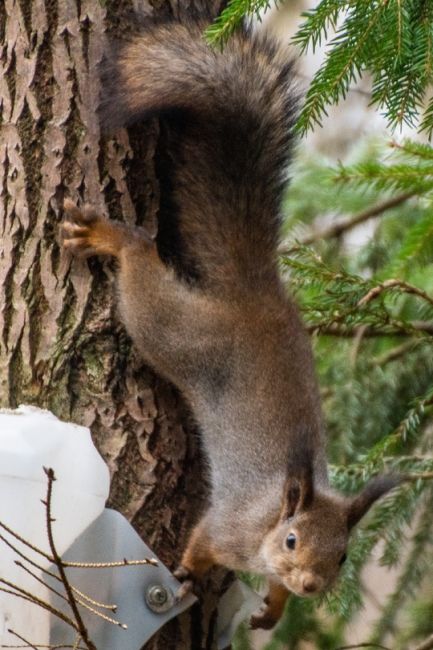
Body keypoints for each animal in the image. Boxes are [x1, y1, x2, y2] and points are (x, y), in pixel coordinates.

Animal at [60, 19, 398, 628]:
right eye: (292, 540)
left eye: (343, 555)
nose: (312, 584)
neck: (269, 518)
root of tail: (255, 293)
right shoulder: (229, 527)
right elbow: (202, 543)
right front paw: (190, 573)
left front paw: (275, 608)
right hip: (175, 333)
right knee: (141, 265)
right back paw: (112, 238)